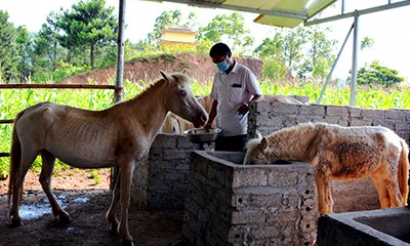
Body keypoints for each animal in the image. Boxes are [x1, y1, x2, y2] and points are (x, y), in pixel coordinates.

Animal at [8, 71, 208, 246]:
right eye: (182, 92)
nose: (204, 118)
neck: (137, 120)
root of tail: (27, 111)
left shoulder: (122, 165)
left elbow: (117, 193)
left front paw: (113, 223)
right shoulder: (128, 164)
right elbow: (125, 198)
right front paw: (126, 236)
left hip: (48, 154)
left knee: (44, 181)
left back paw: (62, 214)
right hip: (30, 152)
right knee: (18, 179)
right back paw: (16, 218)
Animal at [245, 123, 408, 215]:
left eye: (254, 160)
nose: (246, 172)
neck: (310, 142)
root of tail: (398, 139)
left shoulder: (322, 174)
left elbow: (324, 204)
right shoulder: (324, 176)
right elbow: (329, 202)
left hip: (389, 175)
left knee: (397, 200)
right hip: (378, 177)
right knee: (386, 200)